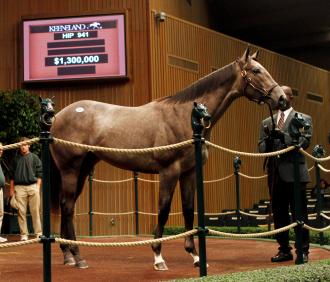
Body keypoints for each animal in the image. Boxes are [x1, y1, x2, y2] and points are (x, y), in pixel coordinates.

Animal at [49, 48, 286, 268]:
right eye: (256, 71)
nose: (281, 98)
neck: (185, 116)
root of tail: (56, 117)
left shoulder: (189, 172)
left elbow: (189, 210)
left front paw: (196, 256)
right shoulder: (169, 171)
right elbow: (163, 210)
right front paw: (158, 256)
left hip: (82, 169)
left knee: (67, 205)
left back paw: (68, 255)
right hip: (71, 169)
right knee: (67, 207)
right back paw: (78, 257)